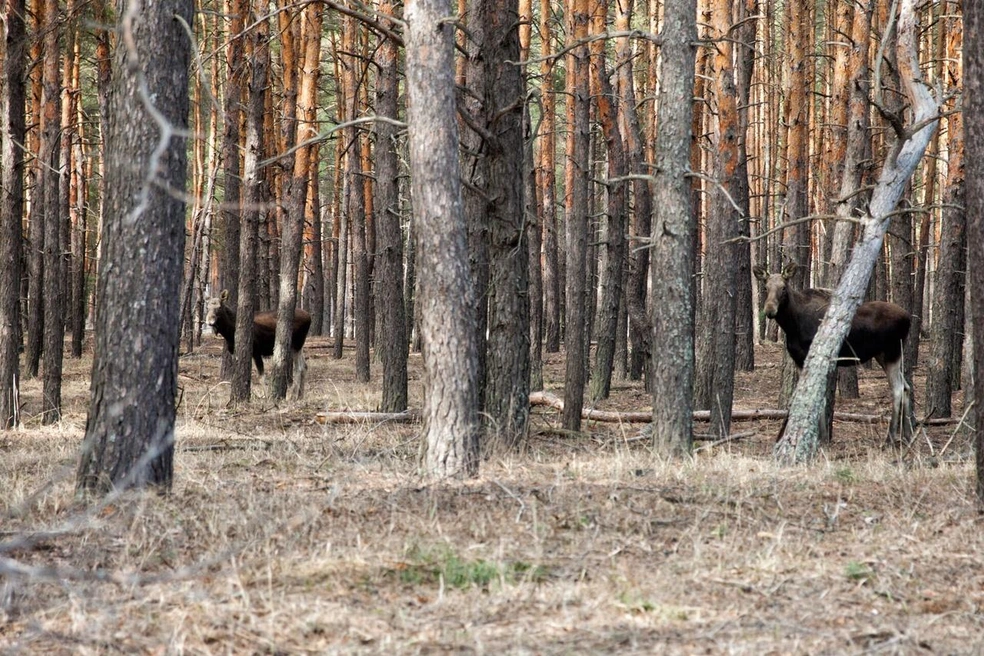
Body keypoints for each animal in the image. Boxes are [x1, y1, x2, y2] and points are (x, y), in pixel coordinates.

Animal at [752, 262, 916, 446]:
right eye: (765, 287)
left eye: (783, 288)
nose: (769, 310)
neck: (792, 326)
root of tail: (909, 318)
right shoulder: (799, 361)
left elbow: (818, 398)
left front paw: (821, 439)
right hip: (884, 355)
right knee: (907, 387)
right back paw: (908, 435)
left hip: (891, 353)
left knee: (898, 389)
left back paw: (890, 438)